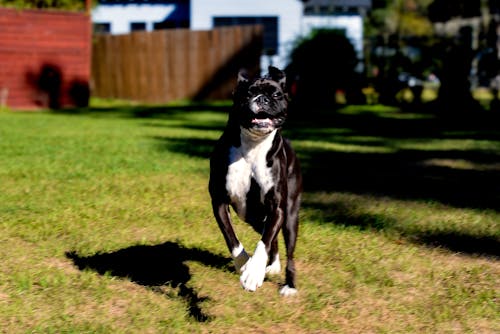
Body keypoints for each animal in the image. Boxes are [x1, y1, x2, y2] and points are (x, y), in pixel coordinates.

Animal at [209, 66, 302, 296]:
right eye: (248, 93)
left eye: (276, 95)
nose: (263, 99)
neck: (253, 144)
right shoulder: (219, 202)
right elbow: (232, 239)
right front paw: (244, 265)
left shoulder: (277, 208)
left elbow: (264, 242)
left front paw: (253, 273)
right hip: (254, 218)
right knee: (271, 237)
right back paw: (273, 266)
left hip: (290, 217)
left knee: (287, 249)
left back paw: (289, 285)